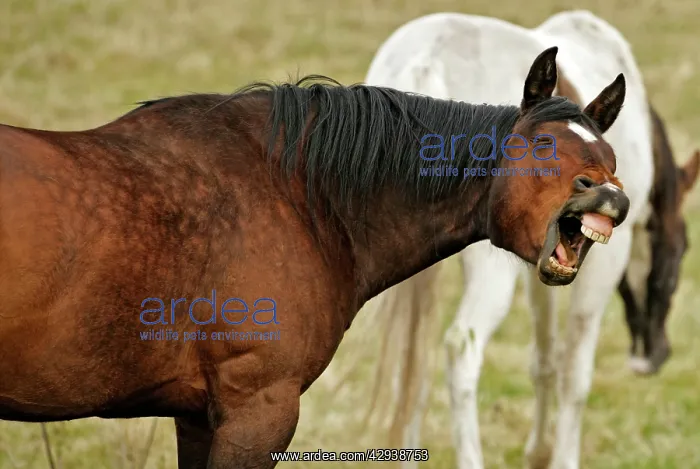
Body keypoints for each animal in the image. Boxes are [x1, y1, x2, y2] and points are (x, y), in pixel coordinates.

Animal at [0, 47, 631, 468]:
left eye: (611, 157)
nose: (609, 200)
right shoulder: (258, 411)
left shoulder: (197, 415)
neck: (300, 196)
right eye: (544, 145)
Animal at [365, 10, 699, 469]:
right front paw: (561, 457)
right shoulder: (603, 261)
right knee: (461, 348)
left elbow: (544, 359)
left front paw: (539, 451)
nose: (653, 357)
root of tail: (425, 62)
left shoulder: (545, 258)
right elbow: (575, 372)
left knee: (411, 358)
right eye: (682, 251)